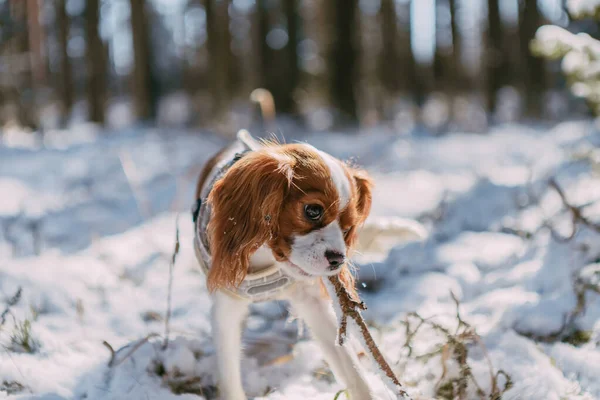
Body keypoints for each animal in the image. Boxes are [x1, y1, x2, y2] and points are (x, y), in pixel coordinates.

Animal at [192, 131, 422, 400]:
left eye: (347, 228)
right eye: (313, 210)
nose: (338, 260)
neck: (266, 258)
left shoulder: (312, 301)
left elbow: (351, 369)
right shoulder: (227, 305)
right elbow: (229, 375)